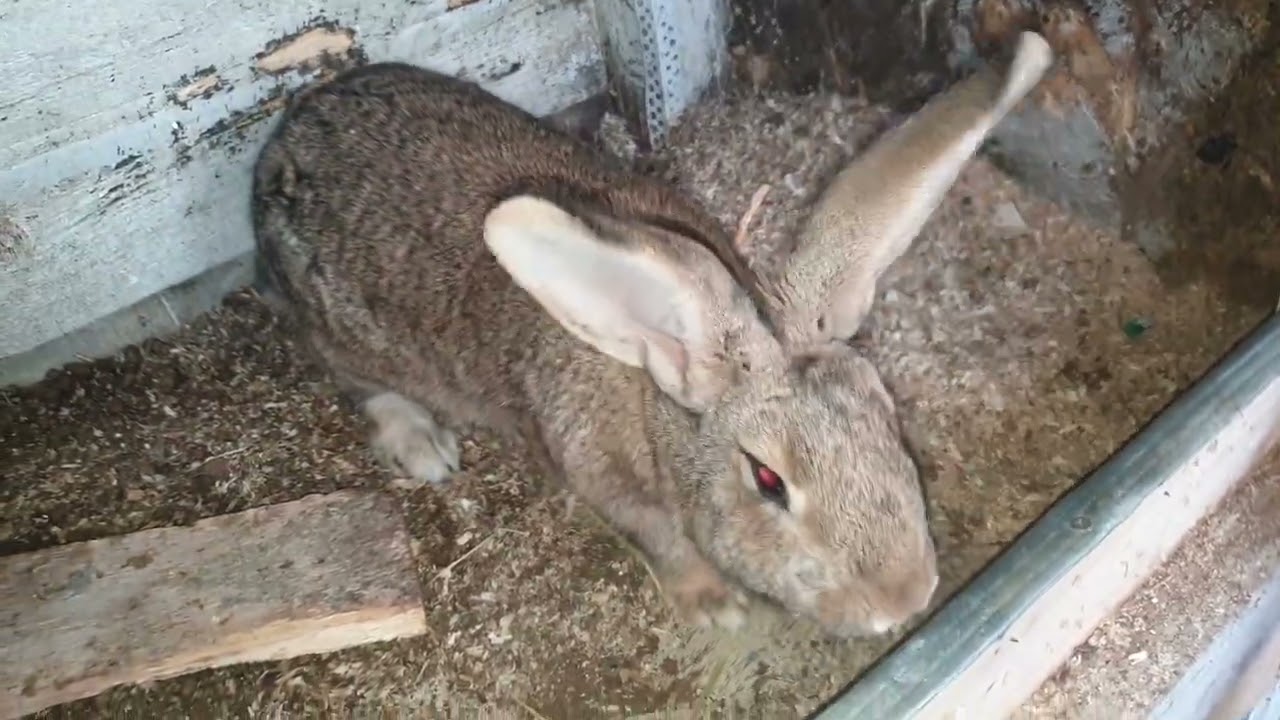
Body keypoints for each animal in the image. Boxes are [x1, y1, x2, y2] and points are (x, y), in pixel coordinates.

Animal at [250, 31, 1053, 637]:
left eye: (888, 417)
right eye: (768, 481)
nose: (904, 599)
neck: (655, 402)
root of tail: (286, 137)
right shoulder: (604, 479)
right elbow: (661, 542)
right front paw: (718, 607)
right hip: (345, 331)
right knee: (355, 379)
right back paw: (422, 444)